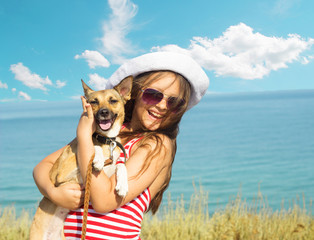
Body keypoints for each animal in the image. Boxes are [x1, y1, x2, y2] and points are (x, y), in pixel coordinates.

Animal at [29, 76, 132, 240]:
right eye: (94, 102)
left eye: (113, 100)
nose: (104, 112)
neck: (105, 139)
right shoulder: (62, 174)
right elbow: (92, 145)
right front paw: (97, 157)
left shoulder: (109, 170)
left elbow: (120, 165)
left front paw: (123, 185)